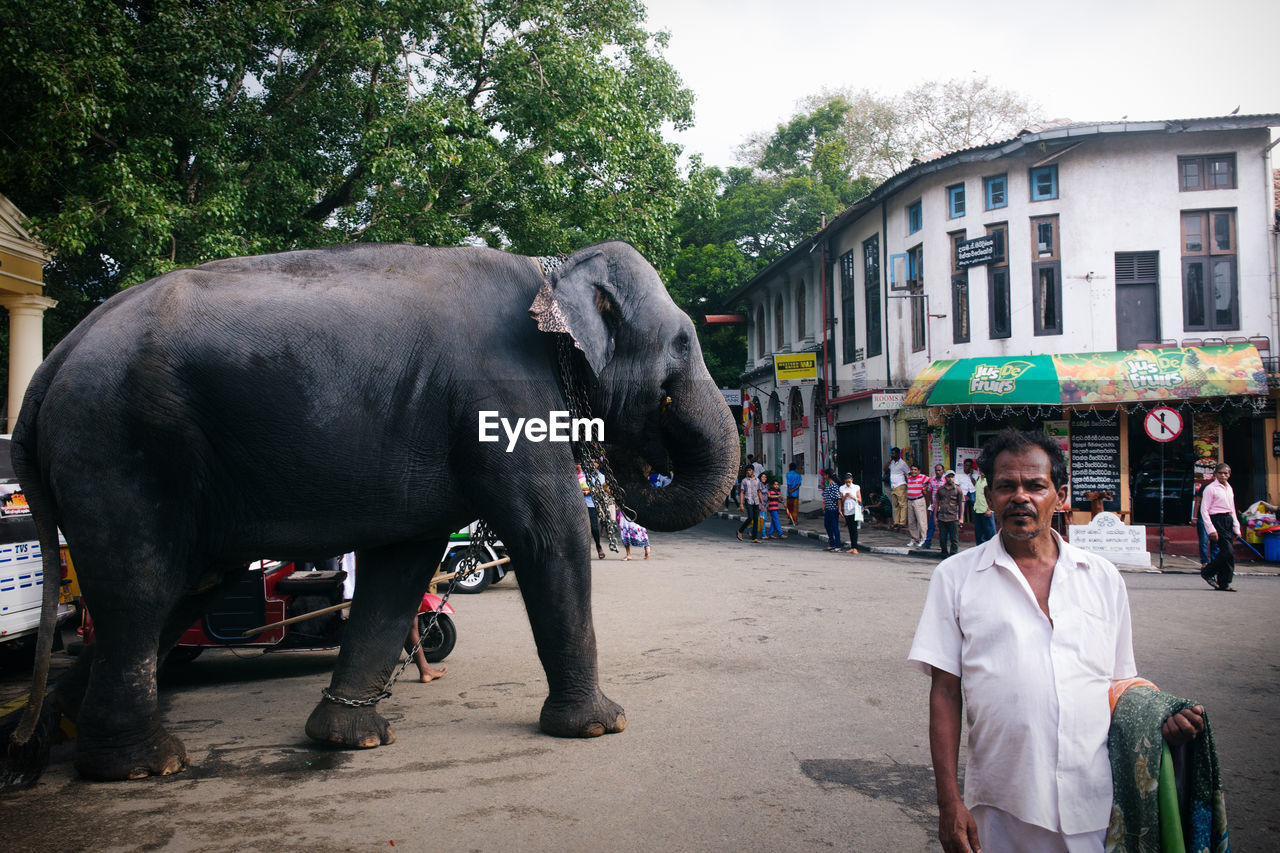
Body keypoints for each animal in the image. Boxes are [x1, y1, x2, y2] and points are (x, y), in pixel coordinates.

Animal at [5, 236, 742, 778]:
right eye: (682, 344)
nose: (629, 466)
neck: (550, 269)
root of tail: (54, 360)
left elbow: (403, 559)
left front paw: (349, 738)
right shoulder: (502, 392)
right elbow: (546, 531)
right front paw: (600, 725)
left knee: (185, 586)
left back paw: (51, 735)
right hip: (118, 445)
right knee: (142, 585)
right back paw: (142, 765)